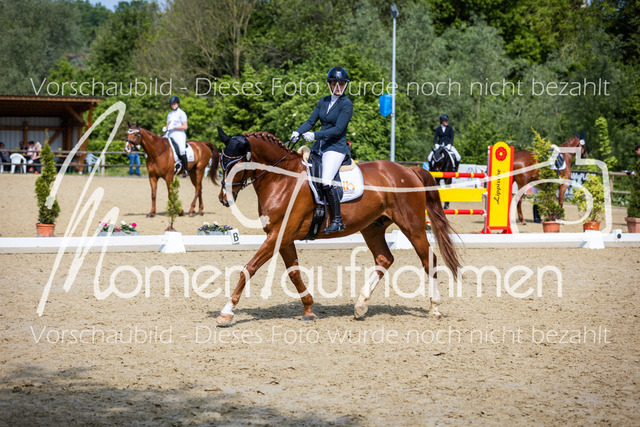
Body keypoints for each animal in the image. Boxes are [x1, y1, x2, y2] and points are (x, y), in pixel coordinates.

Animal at [214, 127, 461, 326]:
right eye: (222, 164)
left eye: (237, 165)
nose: (224, 199)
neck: (282, 180)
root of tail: (409, 170)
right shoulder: (282, 236)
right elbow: (294, 273)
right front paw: (309, 309)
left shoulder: (279, 234)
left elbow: (249, 268)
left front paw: (226, 312)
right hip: (372, 227)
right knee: (384, 259)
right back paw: (360, 305)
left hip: (413, 226)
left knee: (429, 259)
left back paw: (434, 308)